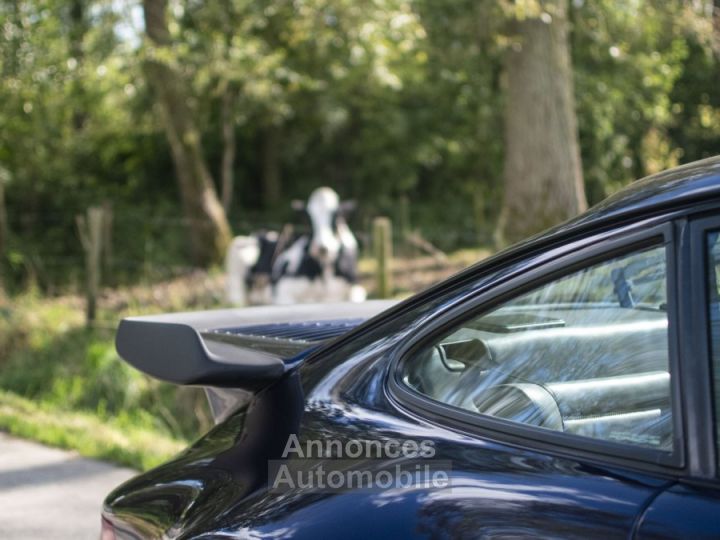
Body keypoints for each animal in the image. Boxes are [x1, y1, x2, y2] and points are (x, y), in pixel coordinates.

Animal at [225, 187, 368, 304]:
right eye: (308, 220)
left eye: (336, 216)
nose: (322, 248)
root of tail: (258, 233)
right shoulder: (282, 290)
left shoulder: (356, 288)